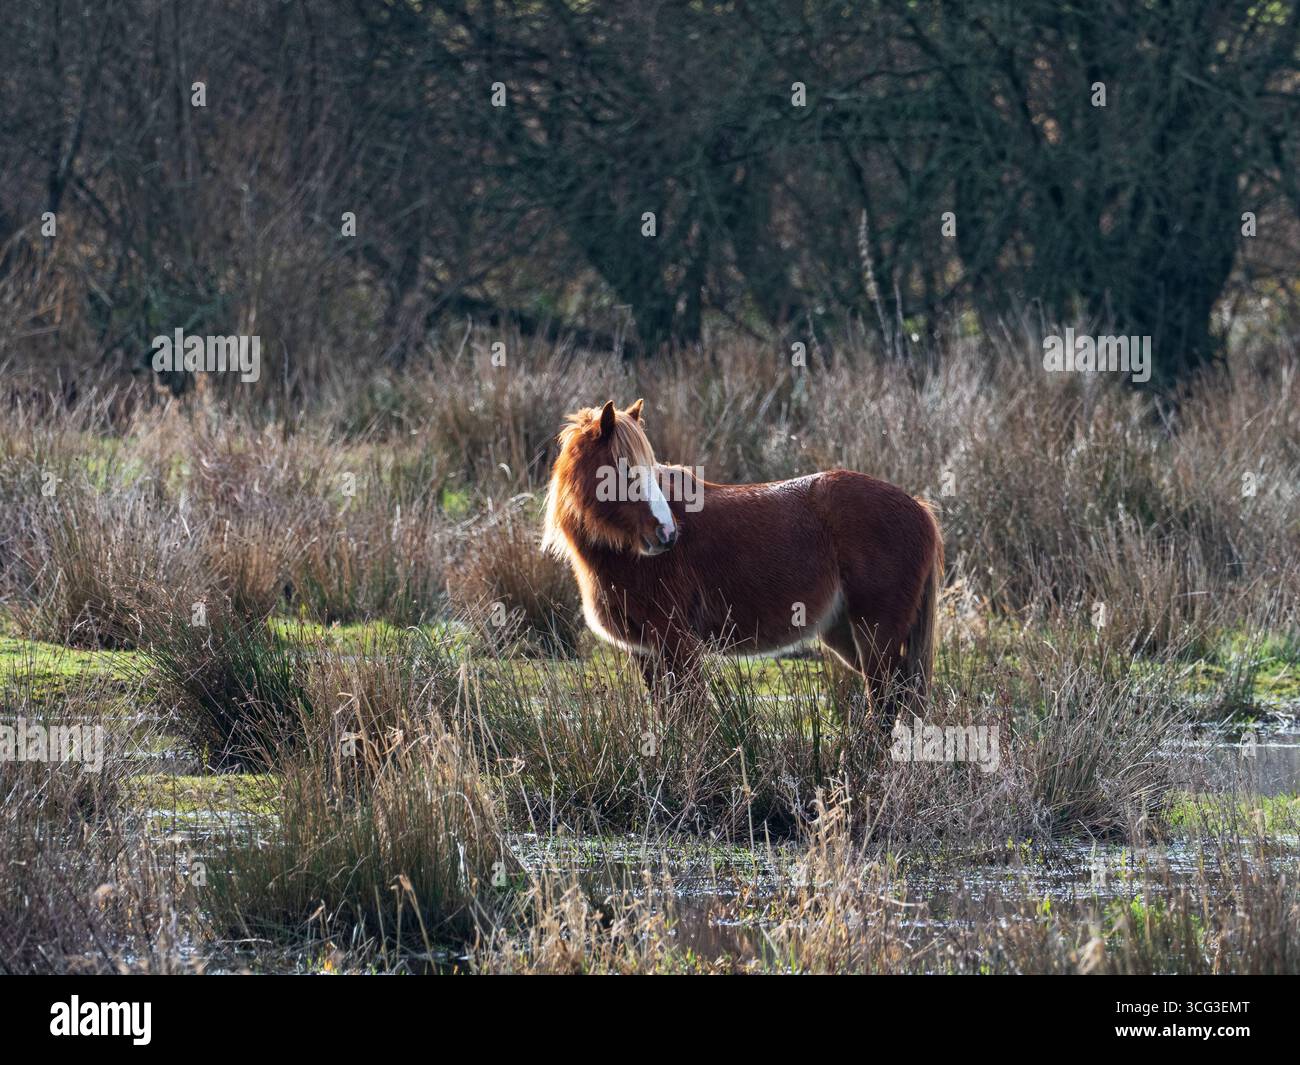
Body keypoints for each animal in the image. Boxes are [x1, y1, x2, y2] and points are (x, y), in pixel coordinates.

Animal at [542, 399, 943, 728]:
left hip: (876, 635)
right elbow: (668, 718)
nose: (668, 534)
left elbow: (692, 719)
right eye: (623, 472)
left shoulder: (677, 644)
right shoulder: (647, 652)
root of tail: (919, 508)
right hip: (846, 633)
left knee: (887, 704)